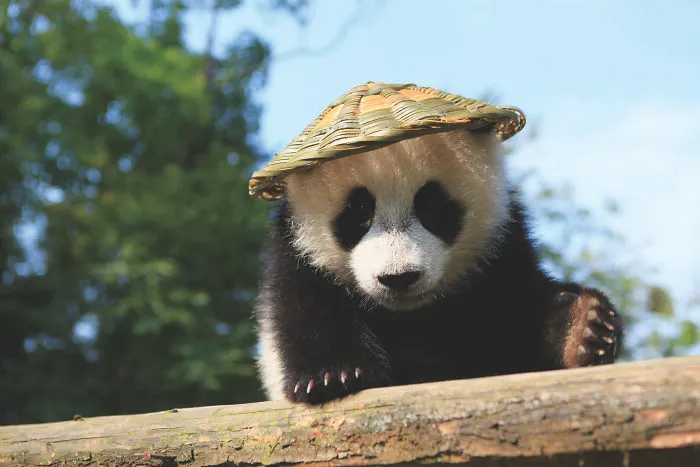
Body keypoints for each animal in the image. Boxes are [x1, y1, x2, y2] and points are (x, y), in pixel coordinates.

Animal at [254, 128, 623, 404]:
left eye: (431, 206)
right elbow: (306, 311)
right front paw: (335, 375)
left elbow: (516, 326)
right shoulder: (298, 255)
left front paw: (581, 327)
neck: (409, 315)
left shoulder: (501, 250)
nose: (399, 278)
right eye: (358, 211)